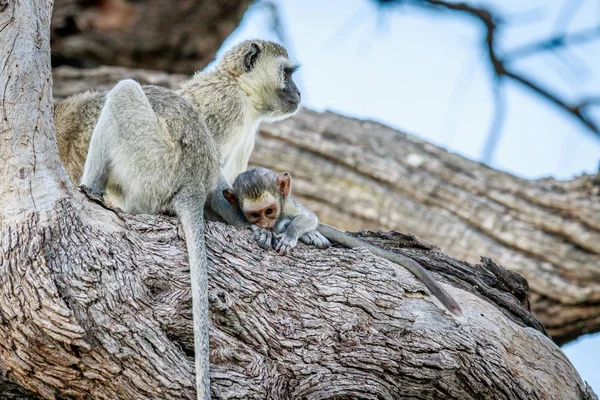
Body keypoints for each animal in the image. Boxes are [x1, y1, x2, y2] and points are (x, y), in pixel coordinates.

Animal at [54, 39, 302, 396]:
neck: (239, 89)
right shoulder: (226, 109)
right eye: (287, 73)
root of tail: (190, 183)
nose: (298, 91)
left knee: (124, 91)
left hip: (153, 168)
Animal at [223, 167, 462, 314]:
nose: (265, 223)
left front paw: (291, 234)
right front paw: (264, 232)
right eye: (256, 215)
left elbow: (309, 218)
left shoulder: (287, 205)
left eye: (269, 211)